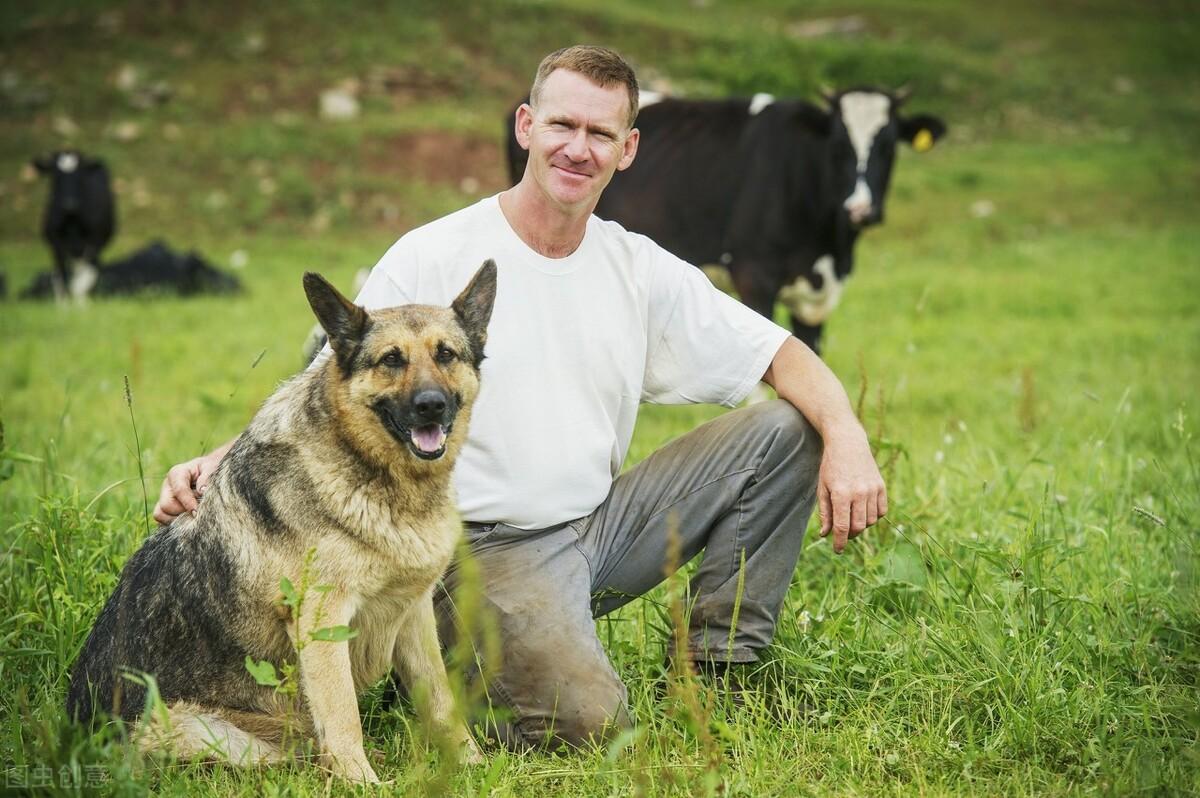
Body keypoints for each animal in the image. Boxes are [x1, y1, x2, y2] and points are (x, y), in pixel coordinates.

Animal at [32, 147, 115, 300]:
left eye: (79, 175)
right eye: (55, 175)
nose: (69, 203)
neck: (72, 220)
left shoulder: (94, 242)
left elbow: (85, 277)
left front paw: (80, 301)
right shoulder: (56, 243)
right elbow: (61, 276)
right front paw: (64, 304)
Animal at [66, 260, 496, 777]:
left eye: (445, 354)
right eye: (391, 360)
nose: (431, 405)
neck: (368, 468)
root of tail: (80, 735)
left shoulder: (412, 613)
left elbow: (440, 699)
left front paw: (471, 764)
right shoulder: (323, 621)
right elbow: (344, 714)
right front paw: (361, 781)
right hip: (206, 734)